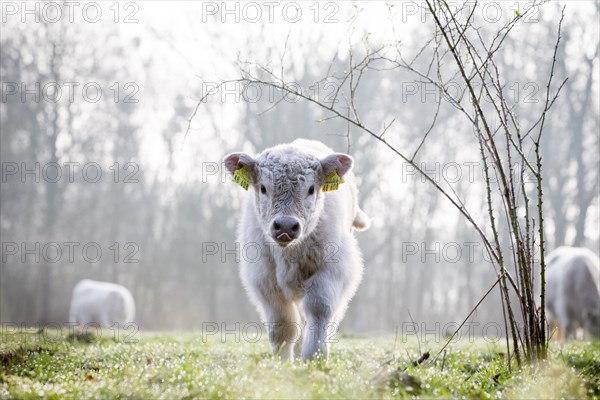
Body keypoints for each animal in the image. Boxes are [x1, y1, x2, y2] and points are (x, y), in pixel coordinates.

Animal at [223, 139, 368, 360]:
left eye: (311, 189)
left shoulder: (334, 271)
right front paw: (282, 363)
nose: (285, 226)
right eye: (263, 188)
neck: (288, 255)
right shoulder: (264, 280)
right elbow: (283, 325)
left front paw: (314, 359)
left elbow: (319, 310)